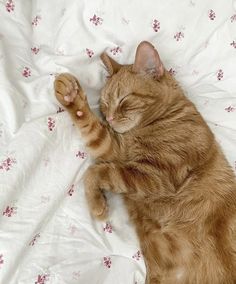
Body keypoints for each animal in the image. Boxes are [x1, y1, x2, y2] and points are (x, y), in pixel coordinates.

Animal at [53, 41, 236, 282]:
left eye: (123, 100)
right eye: (104, 104)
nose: (109, 118)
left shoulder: (157, 176)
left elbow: (94, 172)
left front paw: (97, 206)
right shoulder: (116, 149)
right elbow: (91, 128)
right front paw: (70, 95)